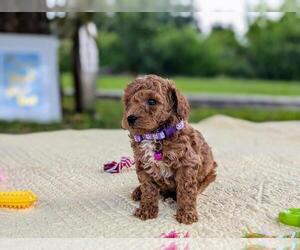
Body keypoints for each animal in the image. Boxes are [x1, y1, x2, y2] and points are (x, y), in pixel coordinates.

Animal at [122, 74, 218, 225]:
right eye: (128, 102)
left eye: (151, 101)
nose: (130, 118)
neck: (155, 135)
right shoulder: (142, 164)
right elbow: (148, 188)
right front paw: (146, 209)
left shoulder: (187, 163)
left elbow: (186, 190)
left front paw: (186, 213)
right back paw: (139, 191)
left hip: (210, 174)